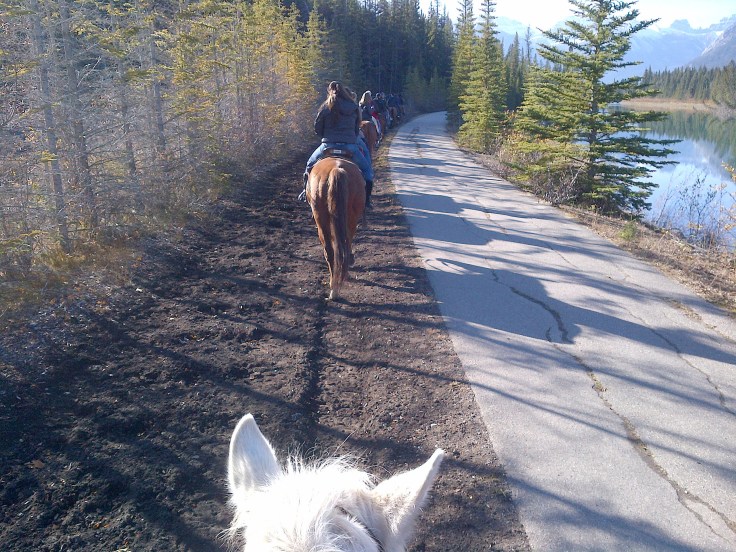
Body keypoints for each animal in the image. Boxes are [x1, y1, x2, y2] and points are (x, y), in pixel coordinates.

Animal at [306, 153, 366, 300]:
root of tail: (336, 170)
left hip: (321, 218)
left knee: (331, 250)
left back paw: (334, 288)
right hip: (349, 219)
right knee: (344, 246)